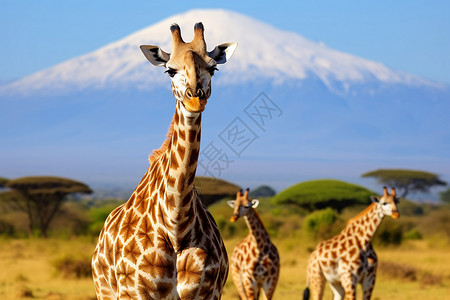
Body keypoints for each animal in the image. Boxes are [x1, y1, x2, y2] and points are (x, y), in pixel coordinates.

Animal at [92, 22, 239, 298]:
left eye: (213, 68)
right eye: (170, 70)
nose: (195, 98)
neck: (176, 224)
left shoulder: (209, 292)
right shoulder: (134, 293)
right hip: (104, 290)